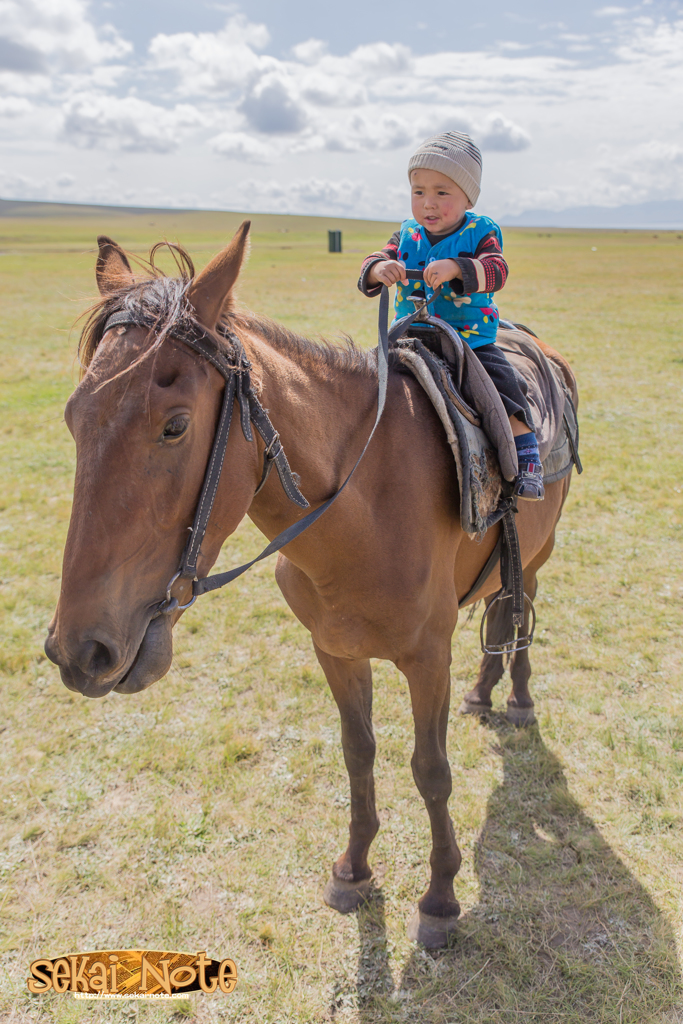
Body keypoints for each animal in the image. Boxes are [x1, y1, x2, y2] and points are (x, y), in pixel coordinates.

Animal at [44, 220, 577, 946]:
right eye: (75, 417)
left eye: (175, 425)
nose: (78, 651)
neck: (365, 508)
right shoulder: (335, 650)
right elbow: (359, 753)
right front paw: (354, 869)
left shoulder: (427, 659)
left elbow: (430, 771)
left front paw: (440, 898)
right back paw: (484, 691)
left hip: (537, 554)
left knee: (518, 610)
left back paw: (516, 696)